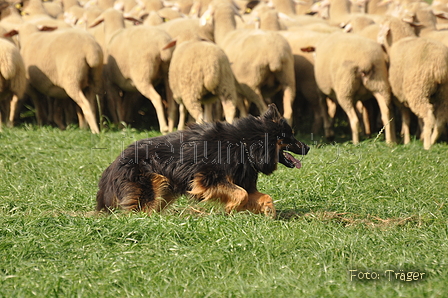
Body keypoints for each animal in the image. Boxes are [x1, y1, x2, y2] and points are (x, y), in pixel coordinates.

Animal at [96, 104, 310, 217]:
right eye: (290, 136)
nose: (308, 148)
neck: (246, 145)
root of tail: (114, 163)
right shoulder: (207, 178)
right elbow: (240, 194)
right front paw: (232, 208)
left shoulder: (244, 181)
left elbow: (260, 196)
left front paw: (268, 212)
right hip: (152, 183)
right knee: (140, 209)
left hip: (164, 189)